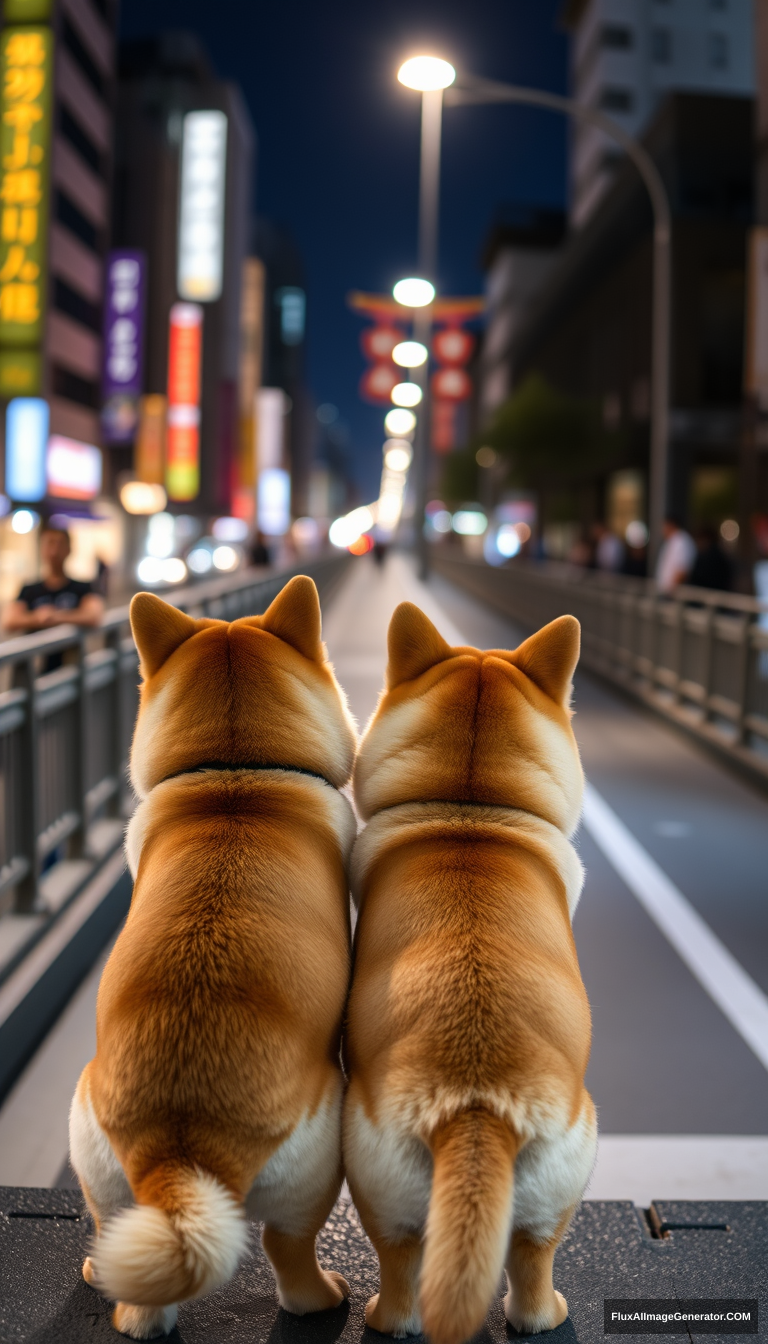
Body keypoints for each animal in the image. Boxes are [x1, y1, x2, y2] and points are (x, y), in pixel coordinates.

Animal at [70, 583, 360, 1338]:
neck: (237, 768)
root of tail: (180, 1150)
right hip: (318, 1162)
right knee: (289, 1251)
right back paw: (324, 1296)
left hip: (96, 1156)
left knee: (129, 1268)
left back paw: (107, 1279)